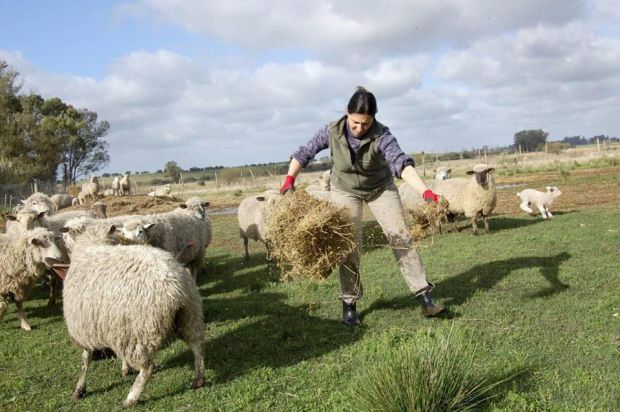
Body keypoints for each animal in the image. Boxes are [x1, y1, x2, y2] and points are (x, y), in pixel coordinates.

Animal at [50, 225, 205, 408]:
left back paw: (131, 398)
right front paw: (125, 369)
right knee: (197, 346)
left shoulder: (84, 328)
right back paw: (199, 379)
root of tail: (175, 285)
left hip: (138, 332)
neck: (93, 244)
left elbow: (85, 360)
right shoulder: (115, 326)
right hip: (189, 314)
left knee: (148, 367)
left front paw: (79, 389)